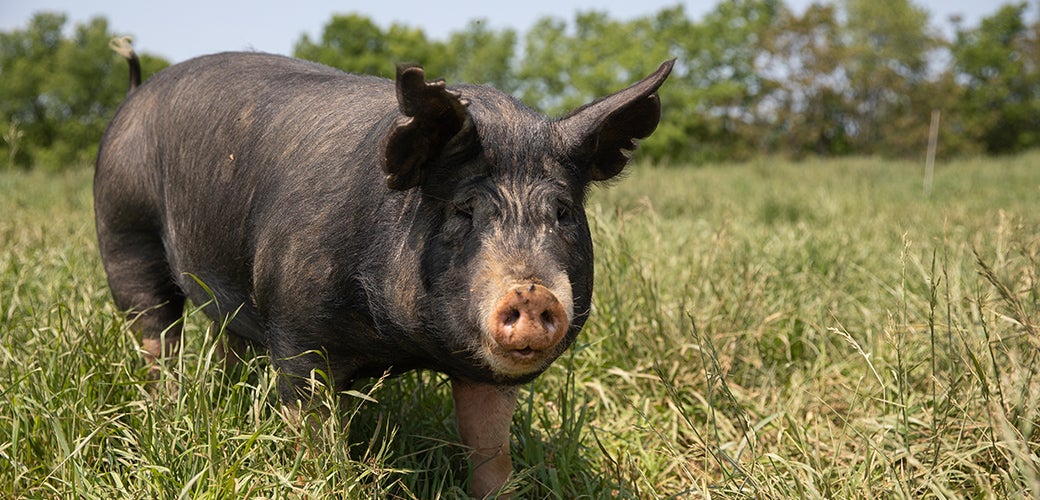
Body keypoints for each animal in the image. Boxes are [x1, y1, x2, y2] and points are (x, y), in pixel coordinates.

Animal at [95, 45, 672, 497]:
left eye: (564, 213)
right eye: (463, 210)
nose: (530, 291)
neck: (400, 345)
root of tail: (133, 95)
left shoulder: (484, 373)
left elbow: (489, 448)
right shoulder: (299, 335)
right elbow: (313, 431)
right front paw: (322, 480)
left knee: (226, 341)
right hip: (124, 233)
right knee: (157, 333)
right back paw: (166, 410)